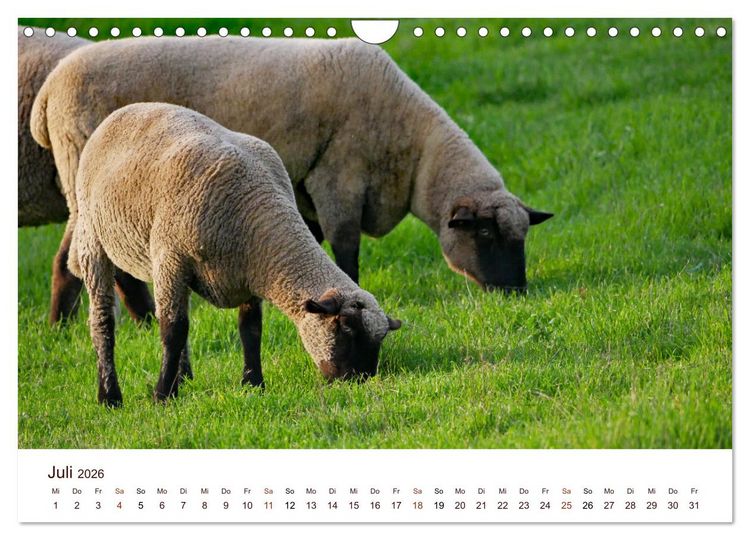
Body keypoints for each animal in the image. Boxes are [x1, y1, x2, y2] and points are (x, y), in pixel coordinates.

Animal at [32, 36, 553, 324]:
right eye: (484, 234)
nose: (516, 293)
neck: (411, 146)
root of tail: (49, 92)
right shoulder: (339, 175)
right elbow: (345, 246)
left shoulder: (305, 188)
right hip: (88, 181)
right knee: (84, 261)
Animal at [71, 103, 401, 406]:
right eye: (345, 326)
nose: (359, 380)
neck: (256, 210)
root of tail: (125, 110)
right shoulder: (172, 259)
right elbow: (173, 330)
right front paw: (163, 396)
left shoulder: (247, 272)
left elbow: (250, 329)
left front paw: (253, 384)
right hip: (93, 238)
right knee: (102, 321)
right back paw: (109, 396)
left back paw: (183, 375)